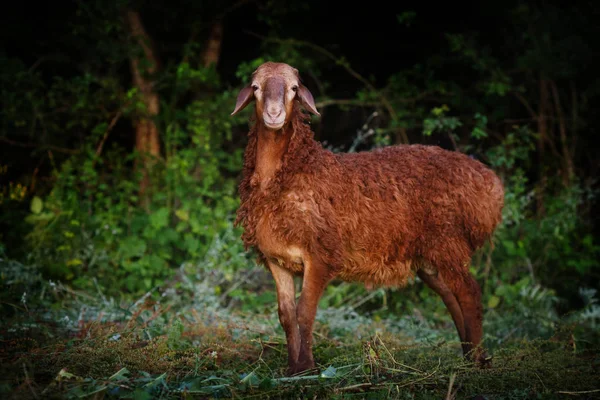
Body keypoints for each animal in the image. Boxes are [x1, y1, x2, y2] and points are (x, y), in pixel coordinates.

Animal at [231, 61, 506, 374]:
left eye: (293, 88)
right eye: (256, 88)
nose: (274, 114)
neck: (293, 172)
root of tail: (489, 185)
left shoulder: (321, 254)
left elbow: (305, 313)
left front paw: (308, 368)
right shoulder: (277, 260)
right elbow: (286, 316)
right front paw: (292, 370)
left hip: (448, 241)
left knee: (470, 294)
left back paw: (477, 360)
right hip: (431, 256)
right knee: (451, 297)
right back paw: (467, 355)